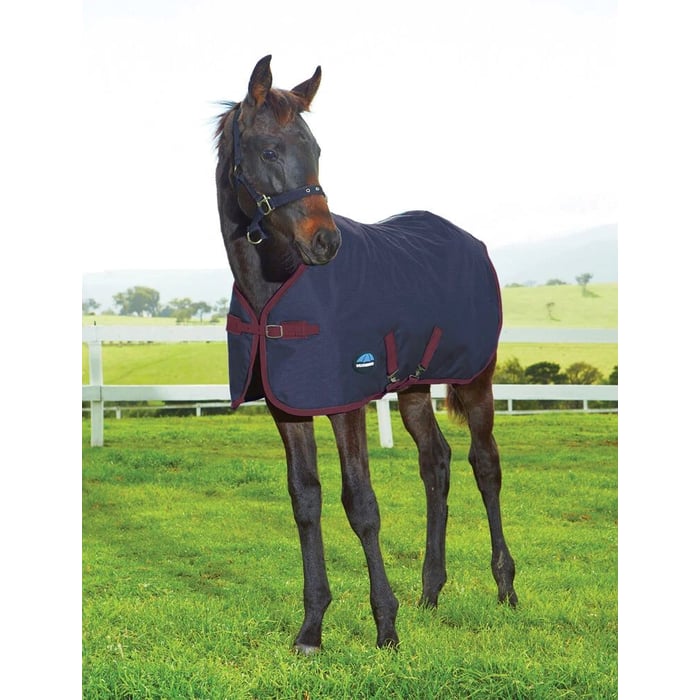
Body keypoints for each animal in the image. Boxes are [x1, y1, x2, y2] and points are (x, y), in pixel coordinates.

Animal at [214, 55, 517, 653]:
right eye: (269, 151)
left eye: (317, 148)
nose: (326, 242)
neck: (275, 288)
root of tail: (470, 241)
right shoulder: (289, 407)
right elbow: (305, 501)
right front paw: (311, 629)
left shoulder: (346, 402)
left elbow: (361, 504)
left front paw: (385, 627)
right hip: (416, 385)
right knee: (436, 462)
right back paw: (430, 592)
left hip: (476, 378)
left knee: (485, 464)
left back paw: (505, 587)